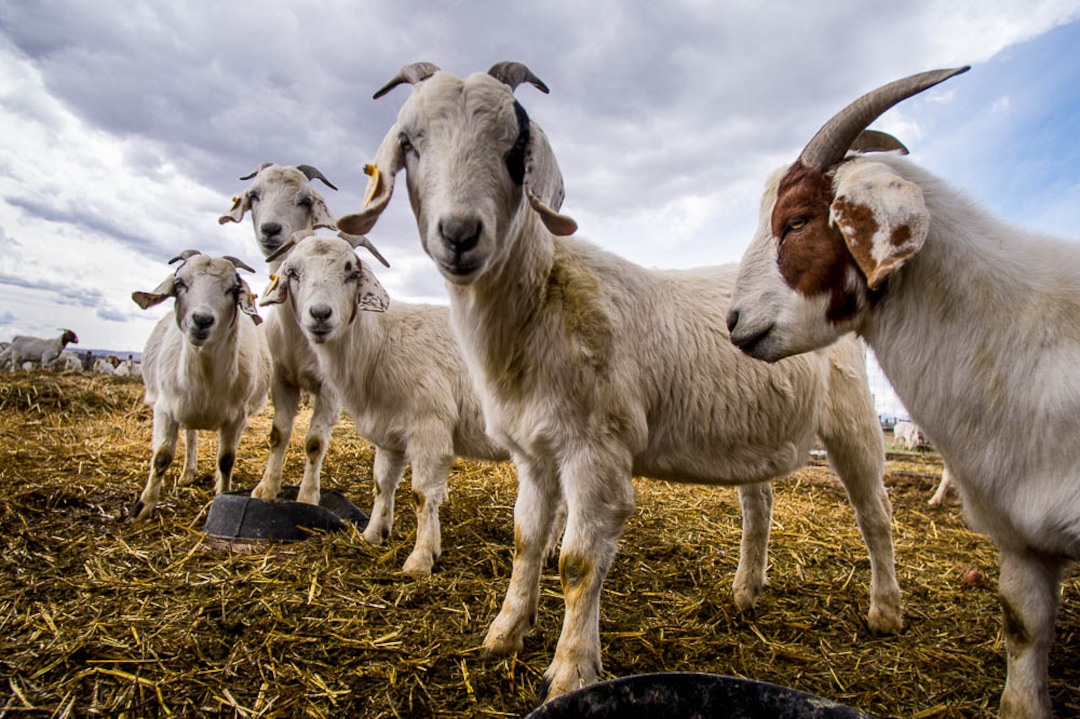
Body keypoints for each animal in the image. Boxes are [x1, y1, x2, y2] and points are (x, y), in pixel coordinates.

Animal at [130, 250, 270, 521]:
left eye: (232, 289)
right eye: (180, 284)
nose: (202, 320)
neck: (205, 373)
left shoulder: (237, 417)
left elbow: (226, 459)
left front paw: (223, 494)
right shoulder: (165, 408)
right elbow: (161, 456)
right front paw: (143, 505)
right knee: (190, 436)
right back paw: (187, 474)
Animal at [220, 163, 387, 506]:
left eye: (305, 200)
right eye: (254, 195)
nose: (271, 230)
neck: (302, 342)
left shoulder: (330, 390)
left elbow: (314, 442)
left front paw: (308, 496)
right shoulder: (281, 380)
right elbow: (278, 434)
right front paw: (266, 488)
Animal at [261, 231, 509, 575]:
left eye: (351, 272)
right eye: (293, 273)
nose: (320, 314)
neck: (380, 343)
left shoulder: (429, 430)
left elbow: (422, 495)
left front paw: (421, 559)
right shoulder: (389, 434)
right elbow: (382, 484)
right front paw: (374, 534)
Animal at [337, 62, 902, 702]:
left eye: (515, 149)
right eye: (411, 143)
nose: (459, 233)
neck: (542, 299)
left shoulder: (596, 448)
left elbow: (578, 562)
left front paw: (570, 670)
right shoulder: (534, 453)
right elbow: (525, 540)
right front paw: (503, 635)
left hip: (853, 417)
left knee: (874, 511)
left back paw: (885, 611)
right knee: (760, 503)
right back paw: (745, 591)